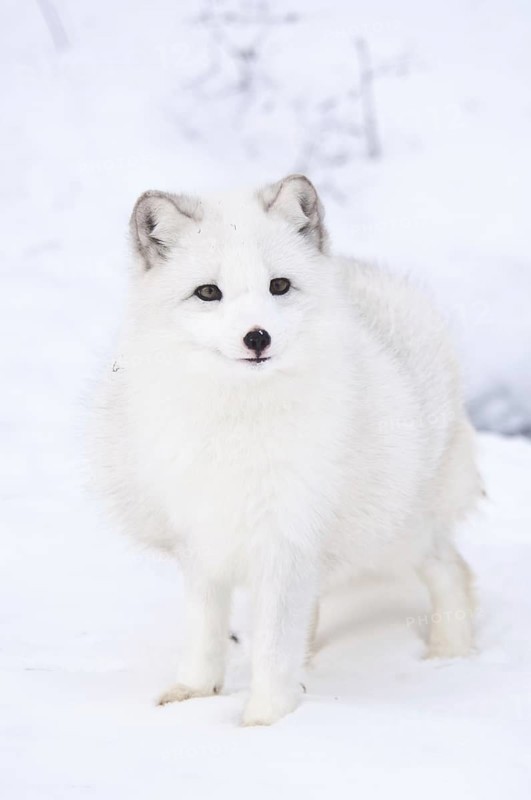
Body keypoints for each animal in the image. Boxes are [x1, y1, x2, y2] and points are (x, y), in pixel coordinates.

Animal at [94, 174, 481, 726]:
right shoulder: (201, 539)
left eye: (279, 286)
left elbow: (275, 643)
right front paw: (197, 691)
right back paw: (313, 661)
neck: (239, 422)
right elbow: (205, 629)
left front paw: (265, 719)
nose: (257, 337)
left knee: (451, 568)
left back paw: (450, 654)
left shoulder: (287, 541)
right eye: (208, 292)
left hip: (396, 532)